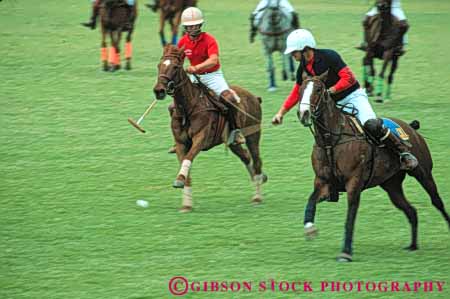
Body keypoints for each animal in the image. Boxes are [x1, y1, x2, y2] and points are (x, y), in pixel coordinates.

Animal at [153, 44, 268, 213]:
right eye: (159, 65)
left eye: (175, 67)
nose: (159, 90)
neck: (188, 108)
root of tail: (254, 97)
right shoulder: (181, 143)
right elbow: (186, 167)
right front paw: (186, 205)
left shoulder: (200, 138)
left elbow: (188, 158)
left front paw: (179, 181)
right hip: (231, 142)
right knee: (246, 157)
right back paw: (257, 179)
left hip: (253, 134)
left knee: (257, 159)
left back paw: (257, 196)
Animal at [298, 72, 450, 262]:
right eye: (301, 89)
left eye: (318, 89)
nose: (303, 113)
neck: (332, 140)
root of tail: (411, 128)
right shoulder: (323, 182)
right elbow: (311, 201)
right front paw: (309, 228)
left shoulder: (354, 183)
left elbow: (350, 217)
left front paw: (345, 252)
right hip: (391, 185)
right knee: (411, 211)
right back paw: (413, 246)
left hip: (424, 173)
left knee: (437, 201)